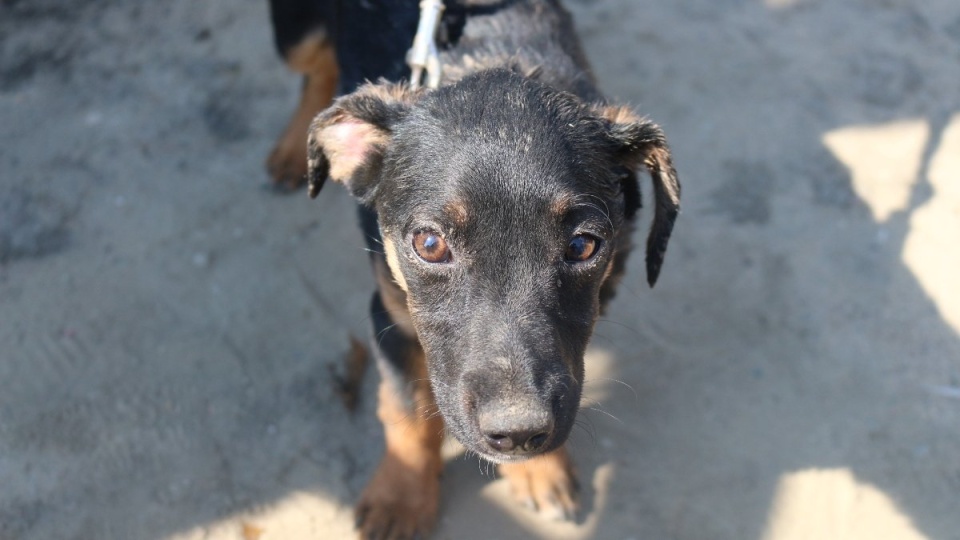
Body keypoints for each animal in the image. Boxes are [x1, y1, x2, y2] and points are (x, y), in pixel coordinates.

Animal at [266, 1, 680, 540]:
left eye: (582, 245)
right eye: (429, 244)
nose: (518, 431)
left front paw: (538, 469)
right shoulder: (390, 315)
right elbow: (406, 413)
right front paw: (400, 500)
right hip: (294, 34)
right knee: (313, 69)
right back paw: (293, 148)